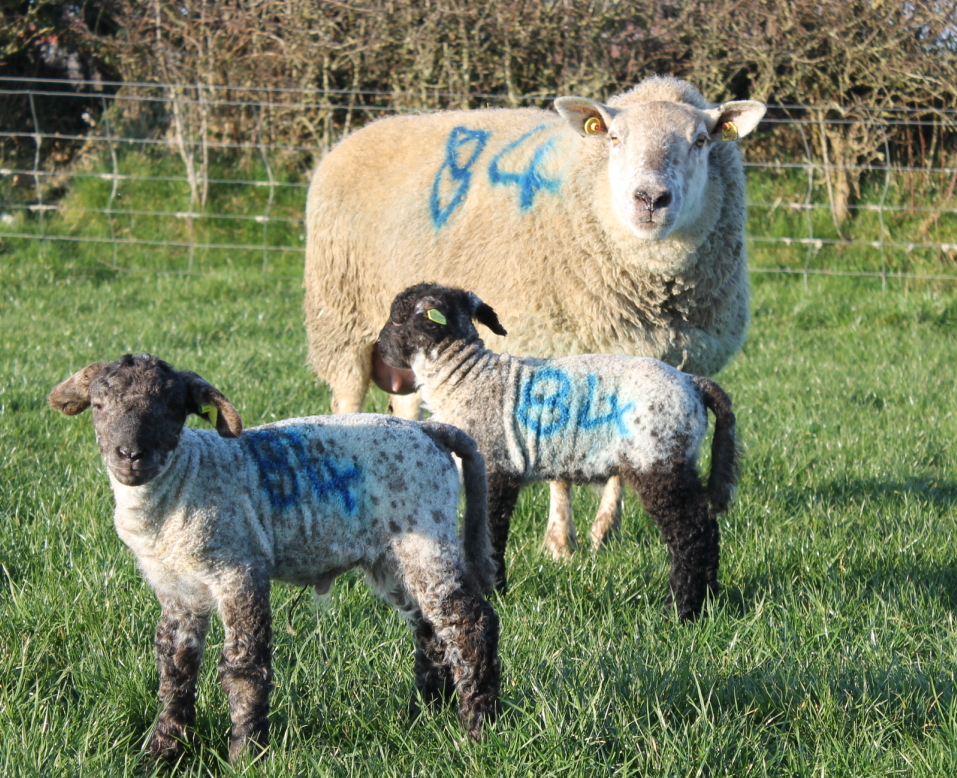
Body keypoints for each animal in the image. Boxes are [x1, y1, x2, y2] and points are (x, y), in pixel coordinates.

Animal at [47, 354, 500, 764]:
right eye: (99, 405)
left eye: (170, 407)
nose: (129, 454)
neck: (181, 485)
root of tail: (429, 430)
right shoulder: (177, 591)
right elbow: (174, 670)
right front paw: (162, 752)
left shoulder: (240, 569)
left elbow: (244, 667)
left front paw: (245, 754)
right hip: (391, 557)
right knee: (429, 630)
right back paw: (424, 713)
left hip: (427, 535)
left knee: (470, 622)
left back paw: (478, 725)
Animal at [302, 76, 764, 564]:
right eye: (615, 139)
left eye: (701, 141)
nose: (651, 199)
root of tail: (366, 128)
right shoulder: (556, 357)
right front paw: (560, 544)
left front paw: (604, 534)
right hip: (341, 319)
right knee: (347, 402)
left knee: (408, 406)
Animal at [374, 284, 740, 620]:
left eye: (397, 318)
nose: (378, 350)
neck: (464, 378)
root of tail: (694, 384)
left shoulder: (496, 467)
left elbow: (490, 536)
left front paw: (495, 592)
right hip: (679, 461)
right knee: (708, 527)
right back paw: (708, 600)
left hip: (657, 459)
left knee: (692, 534)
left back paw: (680, 610)